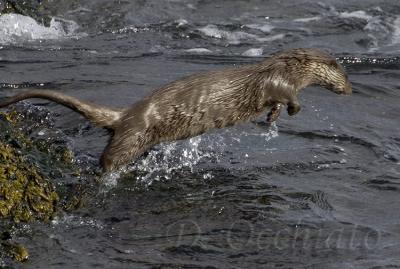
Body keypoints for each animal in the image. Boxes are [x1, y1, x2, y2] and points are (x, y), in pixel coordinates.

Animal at [0, 48, 350, 171]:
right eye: (345, 76)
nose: (348, 90)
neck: (290, 67)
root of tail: (126, 114)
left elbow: (274, 105)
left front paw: (274, 117)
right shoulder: (277, 80)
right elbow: (286, 95)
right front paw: (294, 110)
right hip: (134, 135)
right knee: (109, 158)